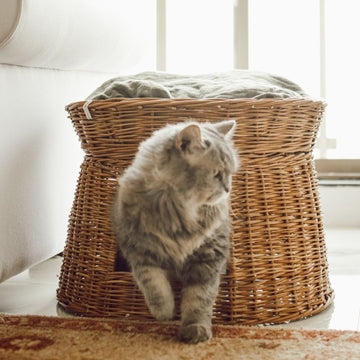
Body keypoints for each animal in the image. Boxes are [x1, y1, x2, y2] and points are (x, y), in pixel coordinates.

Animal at [111, 119, 238, 344]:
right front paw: (164, 313)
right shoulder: (138, 249)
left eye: (231, 173)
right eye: (216, 174)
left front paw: (195, 330)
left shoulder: (209, 256)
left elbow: (199, 299)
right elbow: (154, 284)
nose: (228, 189)